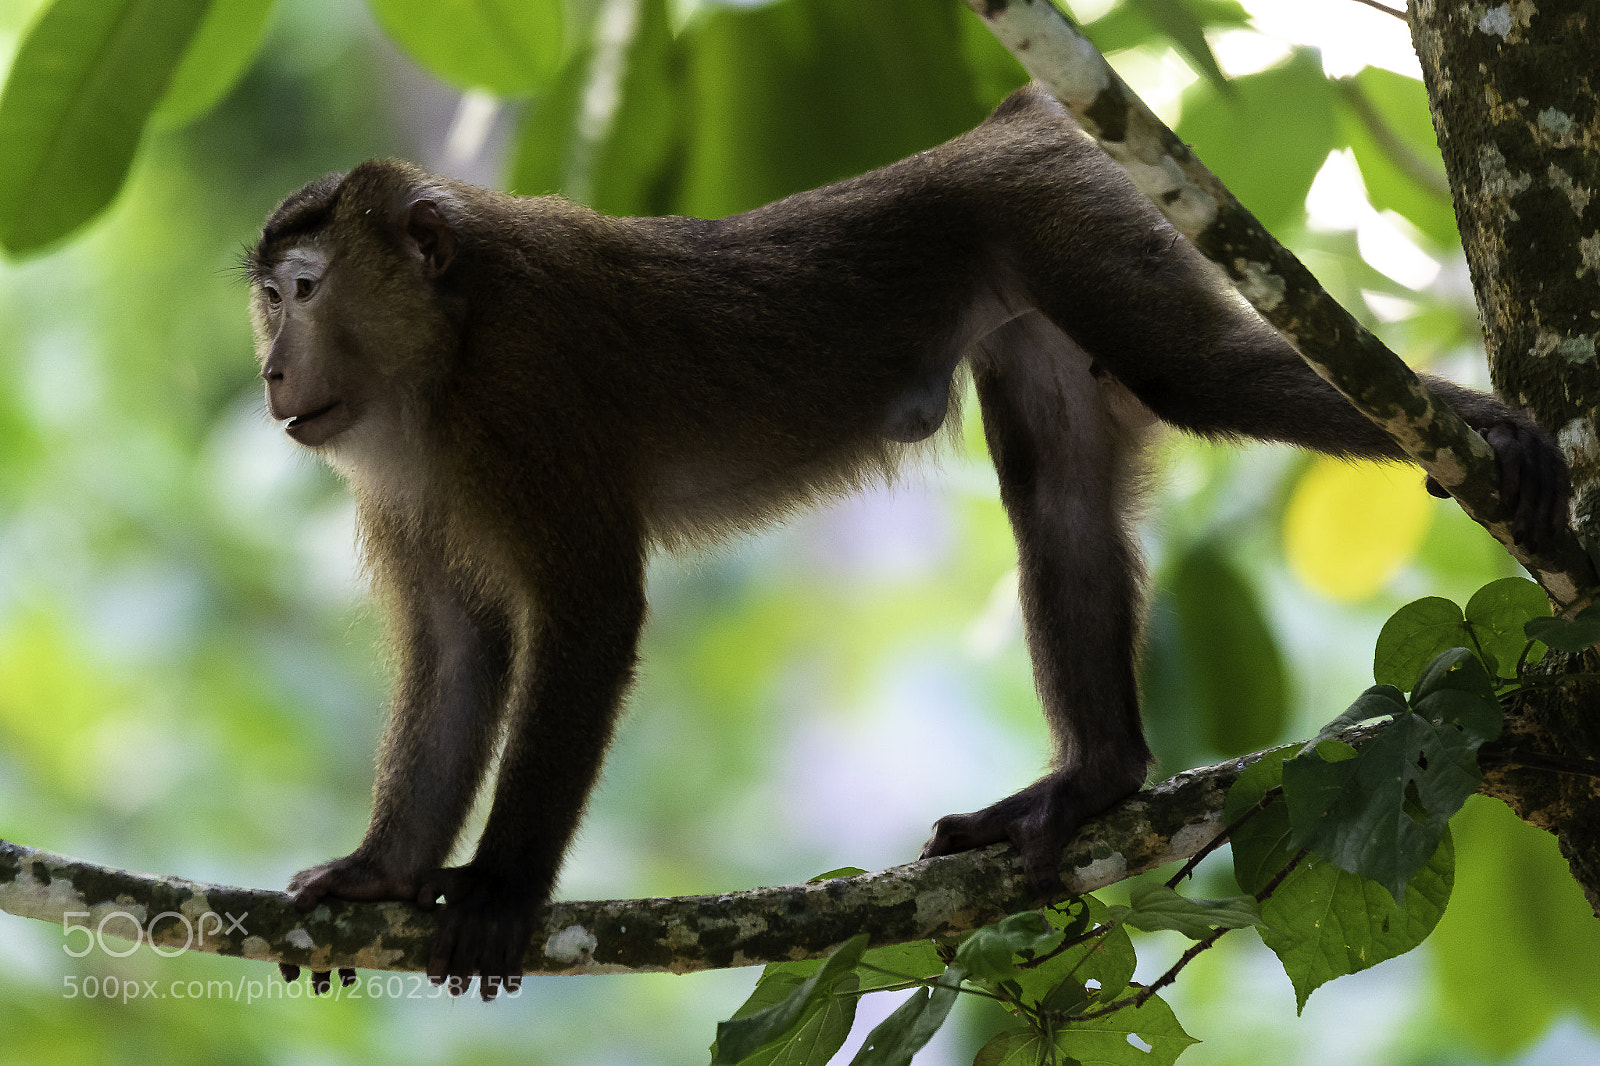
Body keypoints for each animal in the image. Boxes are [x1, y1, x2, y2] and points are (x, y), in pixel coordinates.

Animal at [248, 85, 1568, 999]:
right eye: (264, 298)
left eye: (302, 291)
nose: (268, 369)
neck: (450, 343)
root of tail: (1010, 122)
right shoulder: (403, 473)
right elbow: (457, 648)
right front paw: (383, 871)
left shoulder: (526, 400)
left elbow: (588, 616)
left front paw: (501, 887)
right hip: (1045, 257)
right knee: (1060, 499)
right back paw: (1097, 773)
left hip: (1069, 214)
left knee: (1199, 376)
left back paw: (1487, 429)